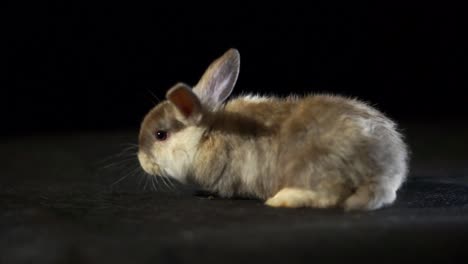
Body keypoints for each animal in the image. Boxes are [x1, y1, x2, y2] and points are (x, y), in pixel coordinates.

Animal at [137, 49, 408, 210]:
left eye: (160, 135)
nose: (141, 160)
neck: (207, 136)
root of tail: (385, 169)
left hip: (314, 168)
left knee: (329, 195)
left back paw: (281, 199)